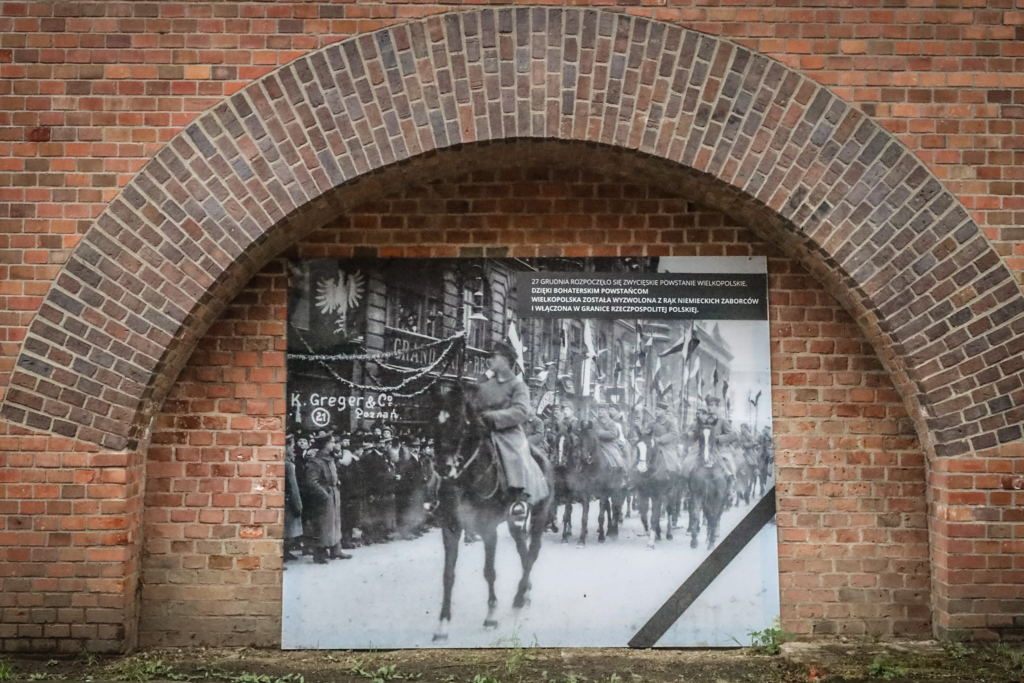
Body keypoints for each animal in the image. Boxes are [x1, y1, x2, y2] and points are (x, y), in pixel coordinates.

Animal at [425, 382, 552, 643]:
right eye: (433, 421)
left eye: (460, 422)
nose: (442, 467)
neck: (466, 478)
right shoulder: (450, 528)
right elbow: (448, 575)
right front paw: (442, 625)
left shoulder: (488, 529)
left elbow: (489, 572)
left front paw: (491, 616)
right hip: (514, 522)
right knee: (523, 550)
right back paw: (525, 591)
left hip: (539, 515)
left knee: (533, 551)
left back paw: (519, 596)